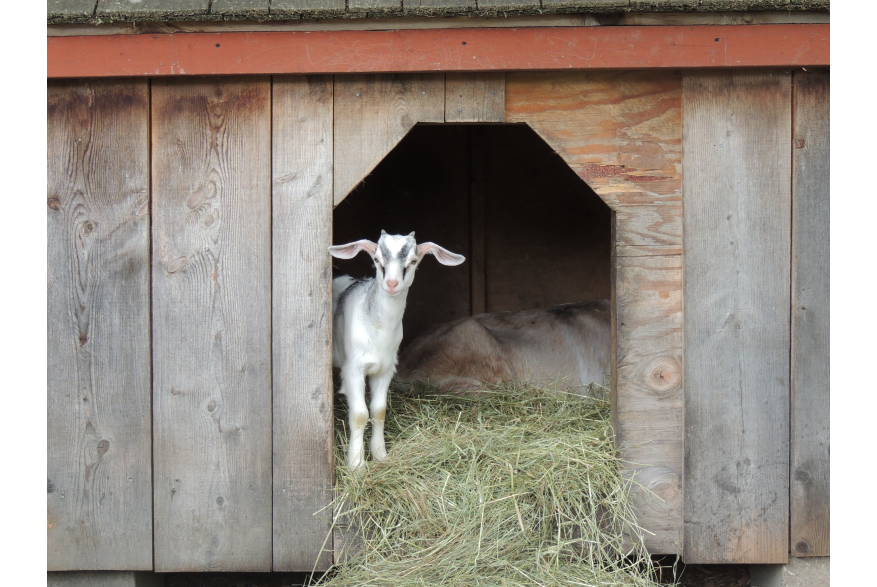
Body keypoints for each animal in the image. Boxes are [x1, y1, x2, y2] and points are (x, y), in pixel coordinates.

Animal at [328, 232, 466, 470]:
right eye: (376, 259)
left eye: (413, 261)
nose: (392, 284)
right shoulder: (353, 368)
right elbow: (359, 414)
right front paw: (356, 465)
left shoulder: (385, 369)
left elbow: (378, 411)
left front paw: (380, 455)